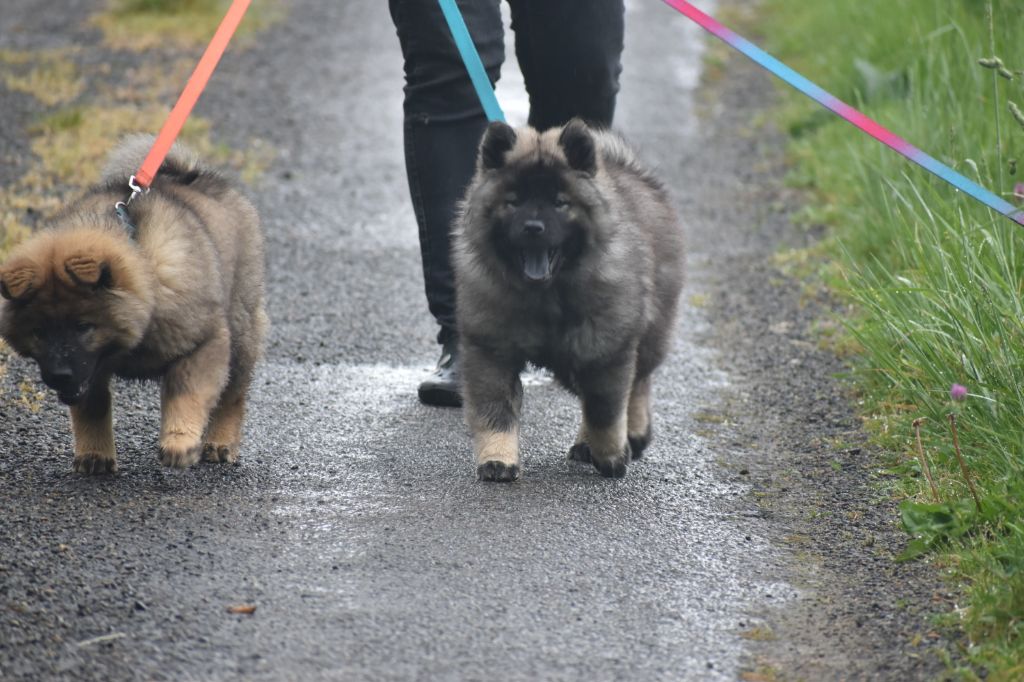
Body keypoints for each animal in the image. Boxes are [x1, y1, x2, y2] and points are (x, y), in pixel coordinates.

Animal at [0, 135, 268, 471]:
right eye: (39, 332)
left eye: (83, 326)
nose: (59, 375)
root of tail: (195, 175)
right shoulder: (89, 369)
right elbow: (91, 408)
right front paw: (95, 454)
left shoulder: (203, 342)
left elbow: (185, 393)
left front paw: (179, 441)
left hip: (241, 328)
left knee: (234, 393)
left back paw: (220, 443)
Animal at [452, 118, 684, 477]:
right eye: (514, 201)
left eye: (560, 202)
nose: (533, 227)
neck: (546, 296)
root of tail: (631, 170)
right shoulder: (491, 351)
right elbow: (495, 411)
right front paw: (498, 458)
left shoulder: (606, 350)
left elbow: (605, 410)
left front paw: (611, 456)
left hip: (645, 330)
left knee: (638, 382)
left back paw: (633, 433)